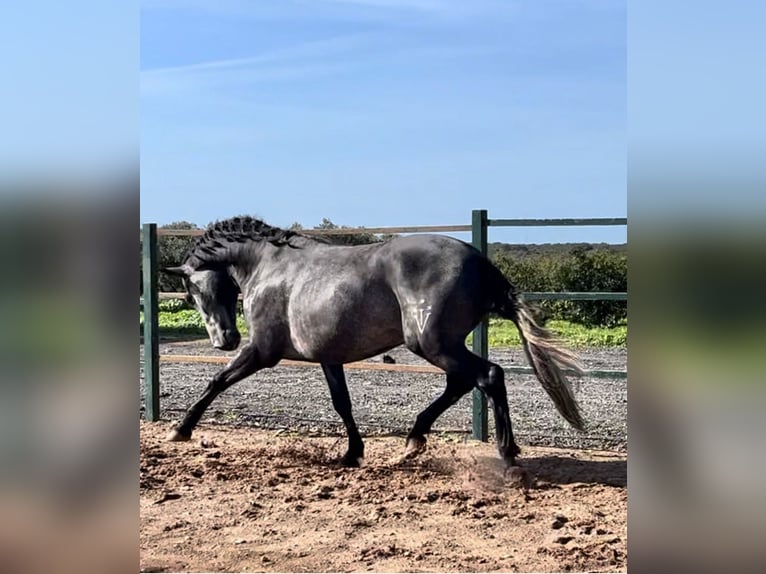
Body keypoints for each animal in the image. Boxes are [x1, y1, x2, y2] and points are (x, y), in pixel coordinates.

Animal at [164, 216, 584, 468]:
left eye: (193, 291)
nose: (225, 341)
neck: (269, 267)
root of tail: (481, 263)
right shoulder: (329, 356)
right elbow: (342, 404)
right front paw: (352, 453)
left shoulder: (263, 351)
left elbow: (217, 381)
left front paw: (180, 430)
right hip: (441, 346)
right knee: (462, 383)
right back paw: (414, 439)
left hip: (431, 344)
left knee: (489, 376)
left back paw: (507, 454)